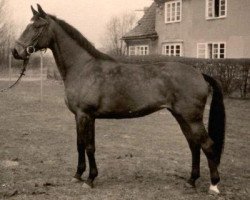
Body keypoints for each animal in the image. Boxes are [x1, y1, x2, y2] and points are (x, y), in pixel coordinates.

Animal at [12, 5, 225, 195]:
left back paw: (214, 186)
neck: (82, 68)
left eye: (37, 26)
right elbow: (80, 144)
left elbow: (89, 146)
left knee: (207, 145)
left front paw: (90, 180)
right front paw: (78, 175)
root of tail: (200, 74)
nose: (16, 51)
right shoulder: (81, 116)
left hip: (191, 118)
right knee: (194, 145)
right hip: (181, 116)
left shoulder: (85, 115)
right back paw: (191, 180)